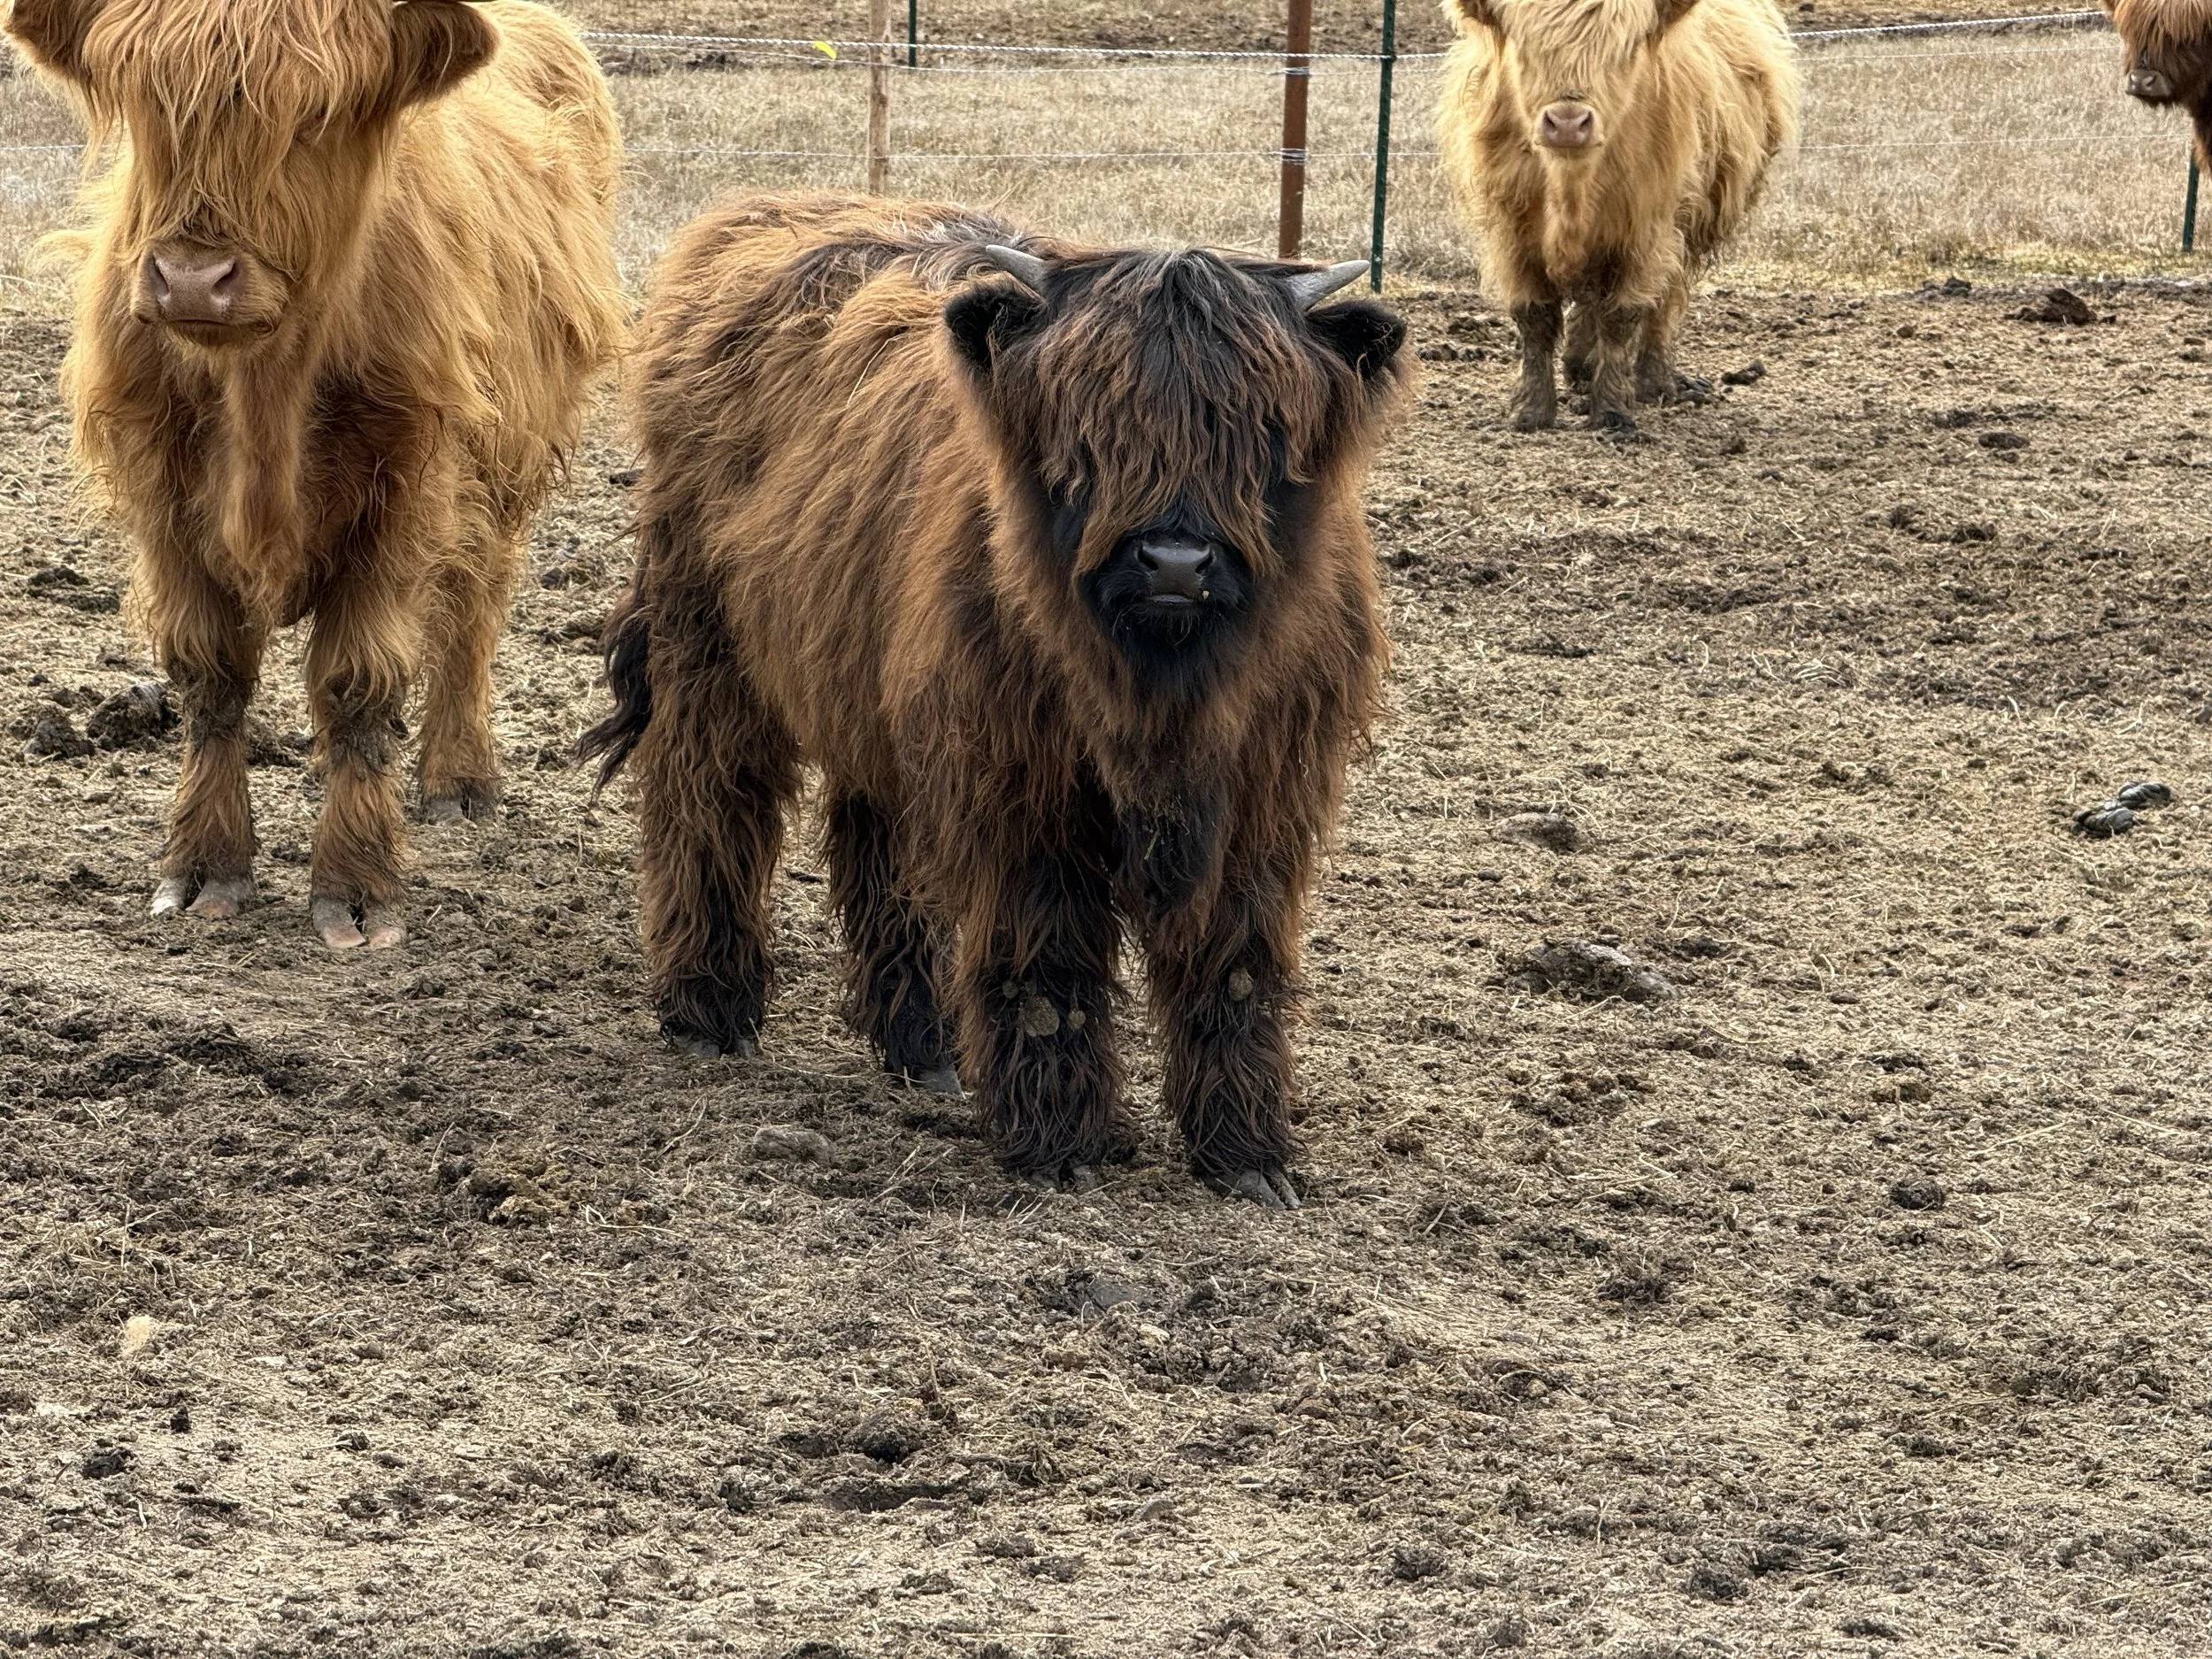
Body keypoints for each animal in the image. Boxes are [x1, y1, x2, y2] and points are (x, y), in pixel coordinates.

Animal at [2, 0, 626, 948]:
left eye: (315, 118)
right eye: (149, 108)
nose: (193, 280)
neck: (265, 395)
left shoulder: (406, 489)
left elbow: (357, 683)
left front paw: (356, 886)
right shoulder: (160, 491)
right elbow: (212, 674)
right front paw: (205, 868)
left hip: (506, 471)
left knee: (474, 611)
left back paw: (458, 780)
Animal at [581, 193, 1408, 1208]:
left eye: (1259, 431)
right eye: (1087, 430)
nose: (1175, 562)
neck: (1159, 693)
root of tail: (753, 219)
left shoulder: (1262, 800)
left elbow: (1235, 967)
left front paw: (1246, 1158)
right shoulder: (1023, 794)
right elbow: (1045, 963)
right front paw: (1062, 1149)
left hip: (871, 692)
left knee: (881, 850)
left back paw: (921, 1044)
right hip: (709, 648)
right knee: (709, 803)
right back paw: (709, 1011)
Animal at [1435, 0, 1797, 431]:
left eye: (1622, 52)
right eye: (1526, 49)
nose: (1568, 123)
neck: (1570, 189)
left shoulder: (1646, 229)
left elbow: (1622, 317)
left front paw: (1611, 410)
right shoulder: (1512, 232)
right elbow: (1534, 318)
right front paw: (1531, 411)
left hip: (1687, 224)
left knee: (1664, 300)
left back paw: (1653, 382)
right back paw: (1579, 366)